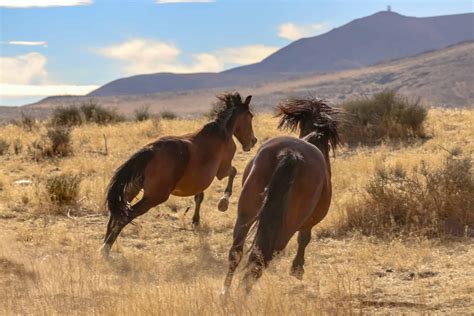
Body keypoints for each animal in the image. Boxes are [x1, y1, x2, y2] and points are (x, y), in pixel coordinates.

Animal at [100, 92, 256, 258]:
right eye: (250, 116)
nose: (253, 141)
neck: (222, 133)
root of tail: (149, 151)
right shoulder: (222, 170)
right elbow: (233, 172)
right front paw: (223, 203)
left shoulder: (199, 181)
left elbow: (199, 197)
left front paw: (196, 222)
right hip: (154, 197)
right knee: (126, 216)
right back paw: (106, 248)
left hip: (132, 189)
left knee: (115, 215)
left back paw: (105, 245)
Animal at [222, 98, 340, 294]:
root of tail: (290, 154)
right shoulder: (308, 221)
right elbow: (305, 238)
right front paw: (297, 269)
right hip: (287, 226)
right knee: (260, 259)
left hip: (245, 213)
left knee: (236, 252)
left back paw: (225, 294)